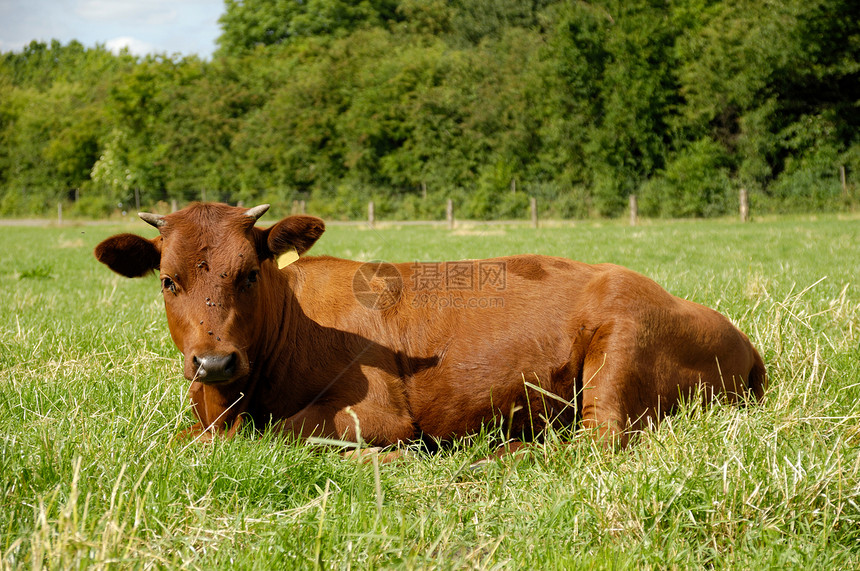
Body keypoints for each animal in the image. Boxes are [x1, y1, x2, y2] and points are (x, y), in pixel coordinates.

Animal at [95, 203, 764, 450]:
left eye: (250, 273)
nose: (215, 362)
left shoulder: (377, 412)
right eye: (168, 280)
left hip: (619, 351)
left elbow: (286, 430)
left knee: (594, 442)